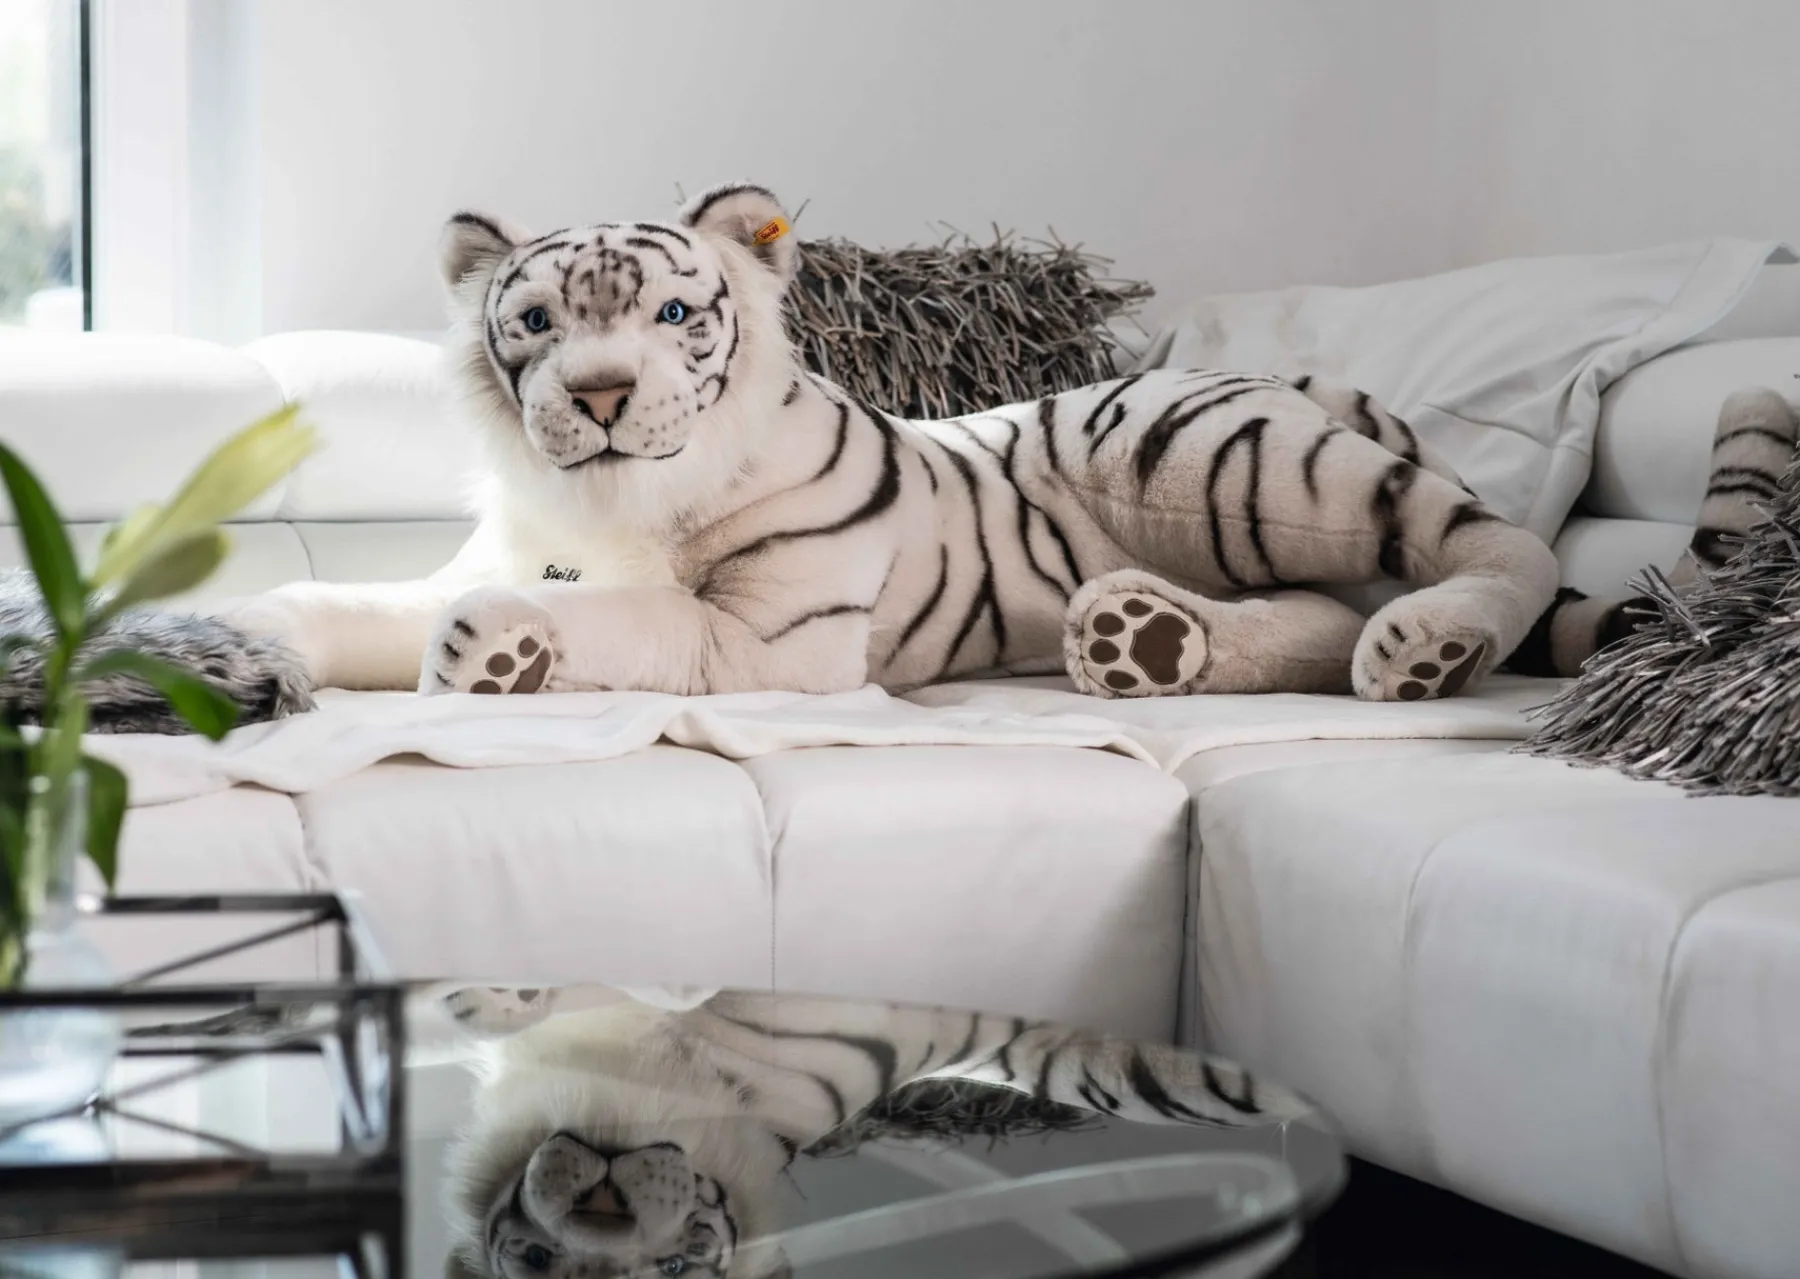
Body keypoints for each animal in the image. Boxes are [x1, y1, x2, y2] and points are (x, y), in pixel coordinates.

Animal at [229, 182, 1791, 705]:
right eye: (537, 320)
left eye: (673, 312)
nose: (602, 395)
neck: (602, 509)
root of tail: (1317, 381)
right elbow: (356, 599)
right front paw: (257, 636)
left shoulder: (773, 639)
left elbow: (628, 621)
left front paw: (502, 650)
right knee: (1302, 615)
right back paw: (1144, 641)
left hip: (1200, 451)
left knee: (1492, 538)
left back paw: (1427, 648)